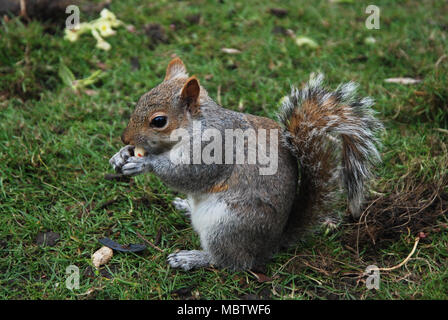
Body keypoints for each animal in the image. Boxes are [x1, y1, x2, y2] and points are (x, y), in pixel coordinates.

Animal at [107, 57, 382, 270]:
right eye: (140, 99)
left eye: (159, 121)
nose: (125, 138)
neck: (197, 125)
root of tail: (272, 243)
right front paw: (121, 154)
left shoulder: (215, 149)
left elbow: (188, 174)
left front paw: (146, 163)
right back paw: (185, 206)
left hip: (227, 225)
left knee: (233, 262)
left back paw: (193, 258)